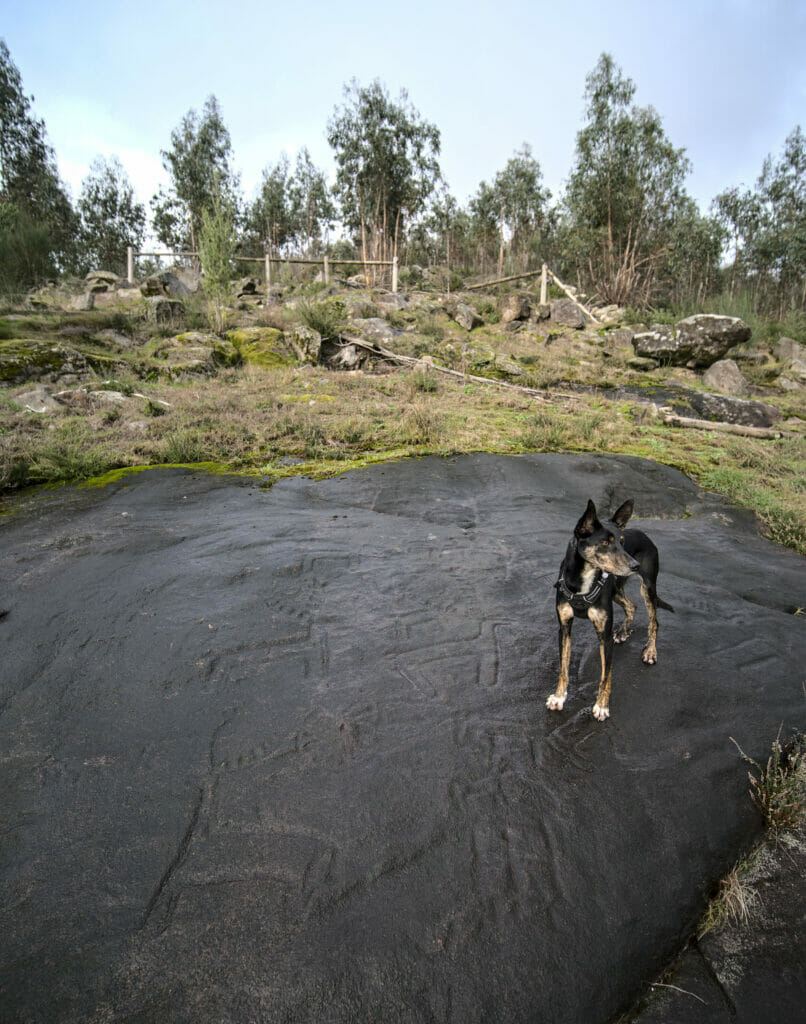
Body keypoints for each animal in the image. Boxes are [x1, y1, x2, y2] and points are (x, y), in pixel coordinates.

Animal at [548, 499, 675, 724]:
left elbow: (605, 676)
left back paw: (650, 651)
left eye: (622, 542)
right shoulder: (564, 628)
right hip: (616, 588)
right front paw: (559, 696)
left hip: (648, 587)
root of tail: (645, 534)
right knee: (631, 606)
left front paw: (601, 706)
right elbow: (563, 668)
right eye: (605, 543)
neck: (584, 579)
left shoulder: (604, 636)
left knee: (654, 621)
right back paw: (624, 632)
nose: (635, 565)